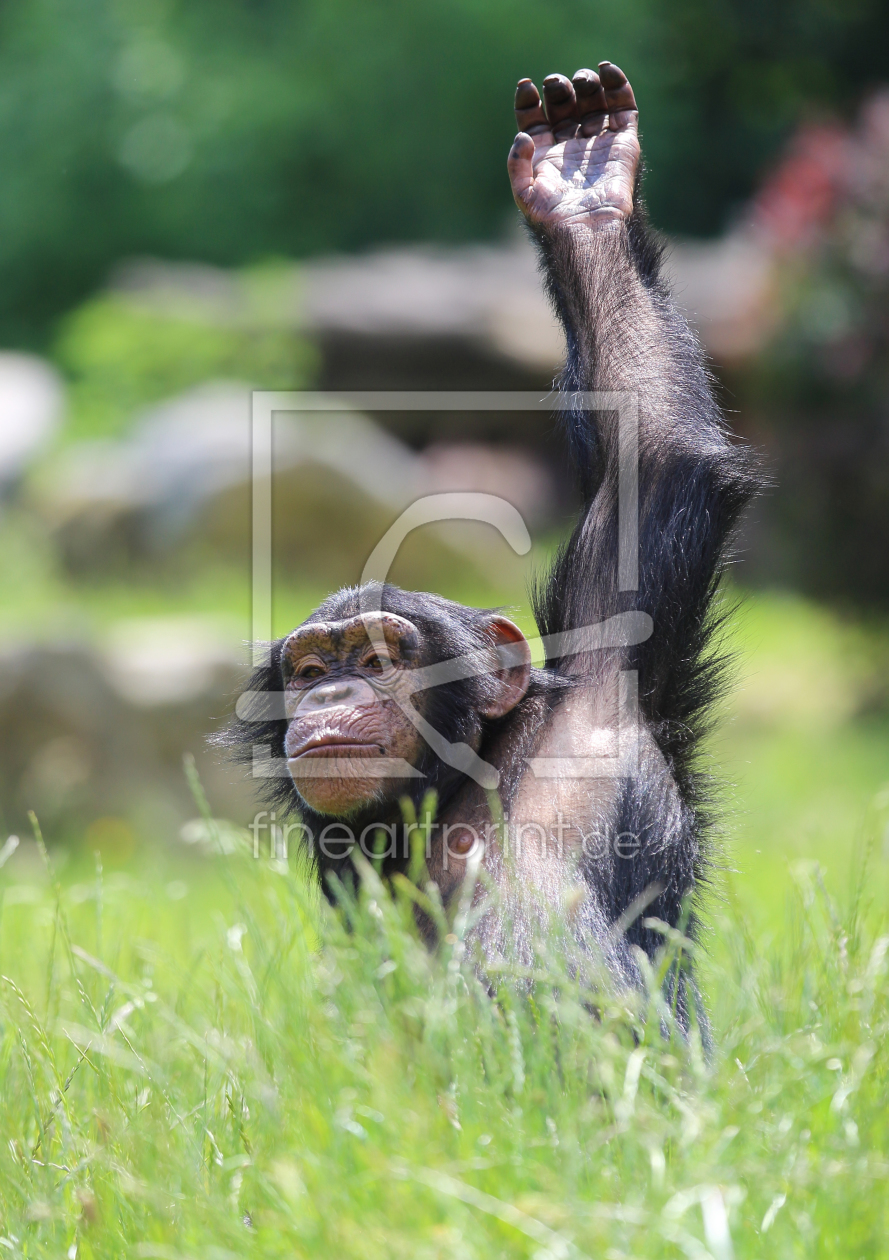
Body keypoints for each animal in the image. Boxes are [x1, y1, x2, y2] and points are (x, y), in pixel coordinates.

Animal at [225, 59, 760, 1023]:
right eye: (313, 668)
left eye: (379, 658)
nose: (331, 695)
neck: (460, 785)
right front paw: (576, 191)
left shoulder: (598, 702)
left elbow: (655, 452)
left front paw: (585, 186)